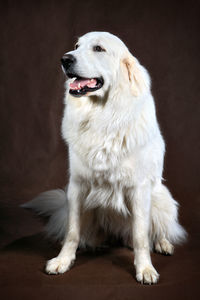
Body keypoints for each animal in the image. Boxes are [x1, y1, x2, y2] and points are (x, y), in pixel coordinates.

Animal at [23, 31, 186, 284]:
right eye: (76, 46)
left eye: (99, 49)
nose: (65, 59)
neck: (103, 116)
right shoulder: (77, 186)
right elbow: (72, 232)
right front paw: (63, 261)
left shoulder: (139, 189)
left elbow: (141, 236)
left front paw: (145, 269)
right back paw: (96, 244)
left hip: (162, 198)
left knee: (158, 230)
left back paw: (163, 244)